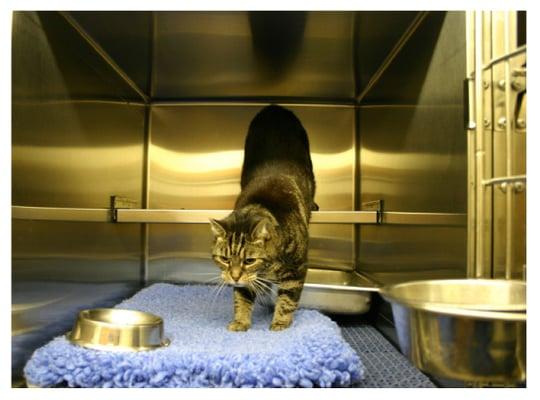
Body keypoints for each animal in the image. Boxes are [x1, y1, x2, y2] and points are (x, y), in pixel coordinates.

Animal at [210, 104, 316, 332]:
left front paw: (280, 323)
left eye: (249, 260)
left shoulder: (296, 271)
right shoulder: (244, 283)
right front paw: (240, 321)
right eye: (225, 259)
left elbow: (287, 300)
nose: (234, 276)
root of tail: (274, 107)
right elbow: (241, 298)